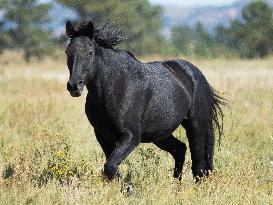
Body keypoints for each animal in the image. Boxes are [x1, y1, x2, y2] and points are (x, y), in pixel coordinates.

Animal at [64, 20, 225, 181]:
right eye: (67, 52)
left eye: (90, 52)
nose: (74, 86)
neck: (114, 88)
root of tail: (196, 74)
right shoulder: (103, 136)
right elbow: (112, 169)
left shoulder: (131, 136)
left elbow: (110, 167)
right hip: (160, 134)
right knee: (180, 149)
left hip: (196, 127)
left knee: (199, 166)